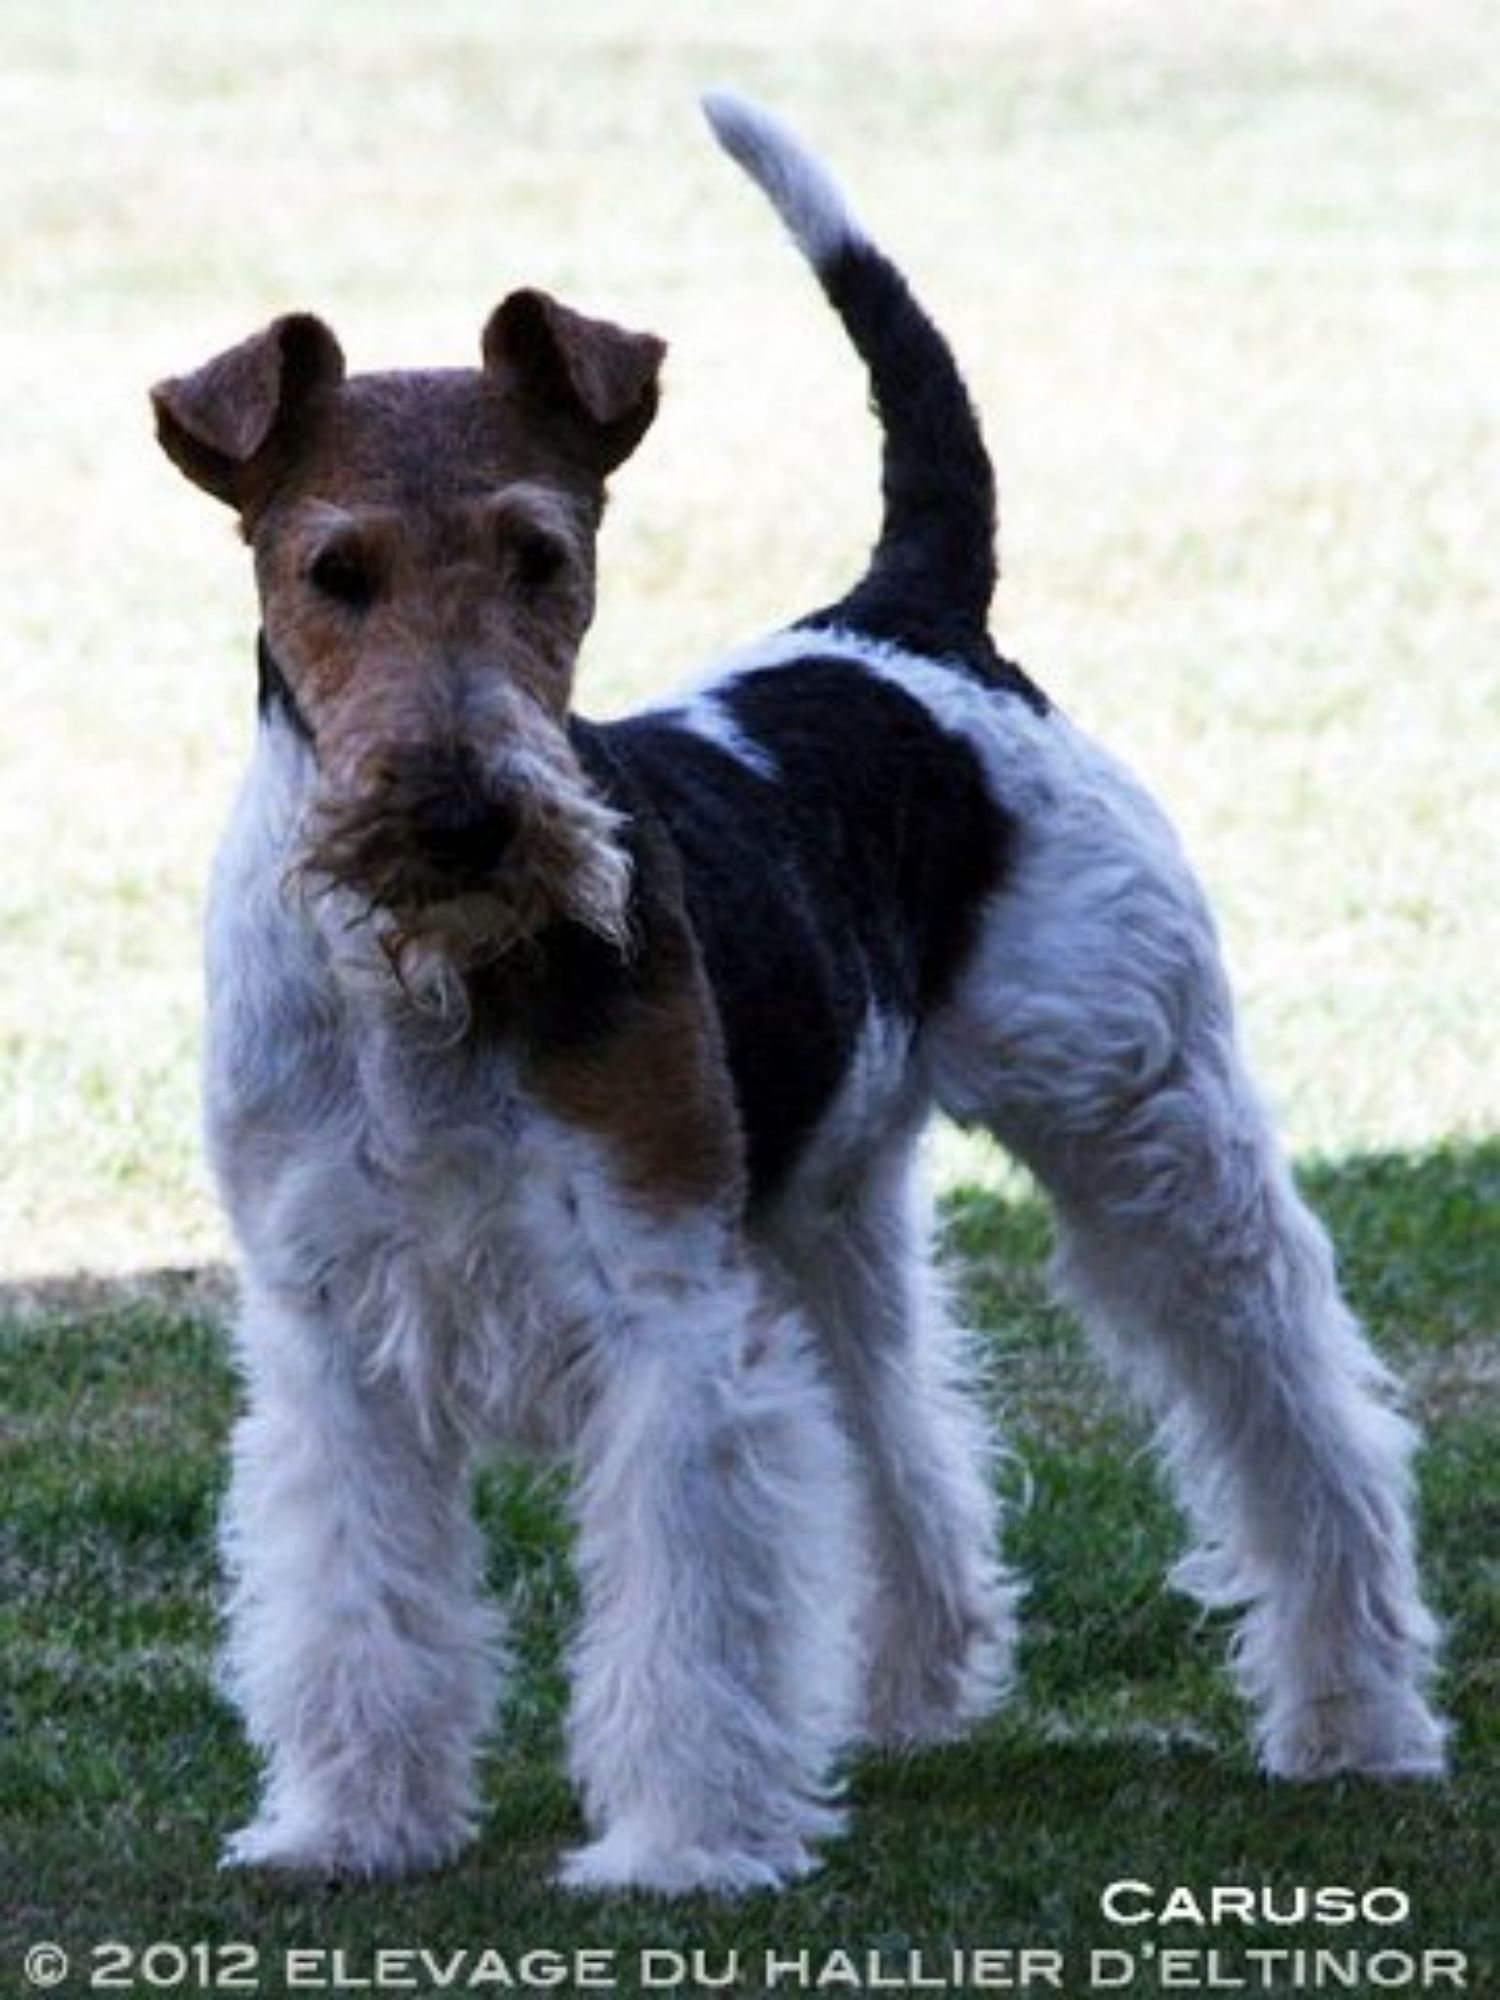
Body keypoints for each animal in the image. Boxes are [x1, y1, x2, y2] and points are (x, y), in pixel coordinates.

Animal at [150, 93, 1446, 1896]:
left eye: (541, 555)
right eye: (333, 571)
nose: (464, 819)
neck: (425, 988)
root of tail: (908, 623)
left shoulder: (664, 1308)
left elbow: (687, 1613)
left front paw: (681, 1850)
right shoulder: (333, 1322)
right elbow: (354, 1601)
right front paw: (348, 1825)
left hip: (1145, 1116)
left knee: (1303, 1420)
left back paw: (1355, 1721)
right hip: (824, 1203)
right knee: (902, 1435)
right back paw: (905, 1693)